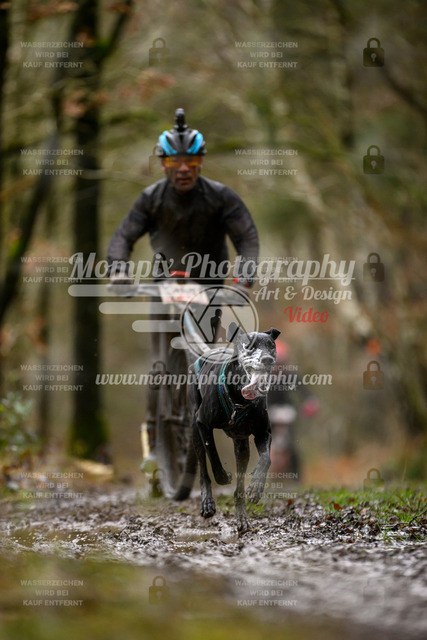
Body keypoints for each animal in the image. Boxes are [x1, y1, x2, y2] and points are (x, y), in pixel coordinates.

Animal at [187, 322, 280, 532]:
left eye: (271, 345)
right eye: (249, 346)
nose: (267, 359)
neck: (239, 399)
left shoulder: (263, 433)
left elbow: (266, 459)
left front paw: (256, 488)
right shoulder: (202, 424)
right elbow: (212, 455)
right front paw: (223, 476)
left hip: (242, 446)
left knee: (239, 487)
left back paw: (242, 517)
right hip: (195, 430)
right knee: (203, 468)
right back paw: (207, 503)